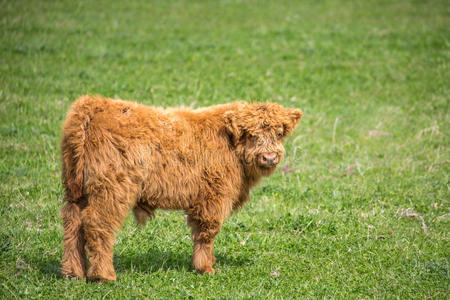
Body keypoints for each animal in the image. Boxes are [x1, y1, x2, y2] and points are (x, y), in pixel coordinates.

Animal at [60, 95, 302, 282]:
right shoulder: (213, 197)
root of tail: (95, 104)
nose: (269, 157)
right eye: (251, 134)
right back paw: (104, 275)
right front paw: (206, 268)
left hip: (75, 191)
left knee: (73, 225)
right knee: (97, 225)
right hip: (111, 190)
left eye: (279, 133)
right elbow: (206, 232)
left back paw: (74, 273)